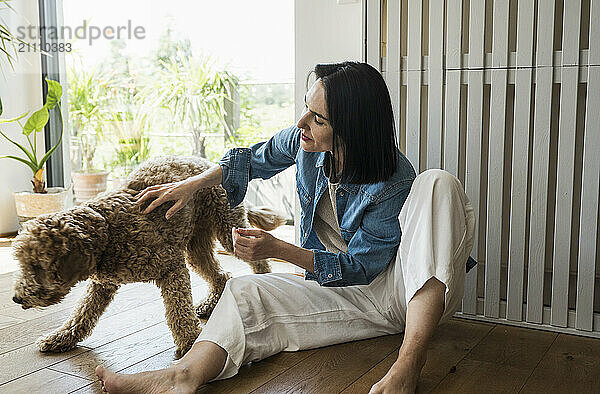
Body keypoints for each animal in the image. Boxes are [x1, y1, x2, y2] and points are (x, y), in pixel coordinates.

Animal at [11, 155, 284, 358]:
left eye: (38, 266)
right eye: (22, 264)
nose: (16, 298)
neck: (106, 231)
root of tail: (211, 163)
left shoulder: (171, 267)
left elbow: (178, 313)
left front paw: (189, 344)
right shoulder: (102, 285)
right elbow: (81, 315)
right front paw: (61, 338)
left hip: (229, 230)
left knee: (258, 259)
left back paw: (263, 283)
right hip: (196, 246)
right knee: (220, 274)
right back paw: (209, 305)